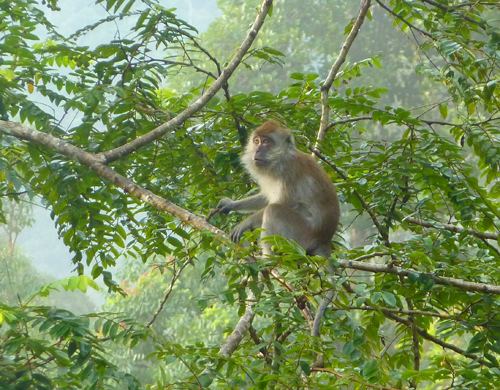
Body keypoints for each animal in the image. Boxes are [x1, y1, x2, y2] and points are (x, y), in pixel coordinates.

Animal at [219, 120, 340, 258]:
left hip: (301, 236)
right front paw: (230, 204)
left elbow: (282, 203)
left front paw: (246, 223)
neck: (279, 159)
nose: (257, 150)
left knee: (273, 210)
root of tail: (324, 241)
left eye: (266, 141)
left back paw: (268, 259)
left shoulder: (288, 171)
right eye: (256, 141)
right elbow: (266, 197)